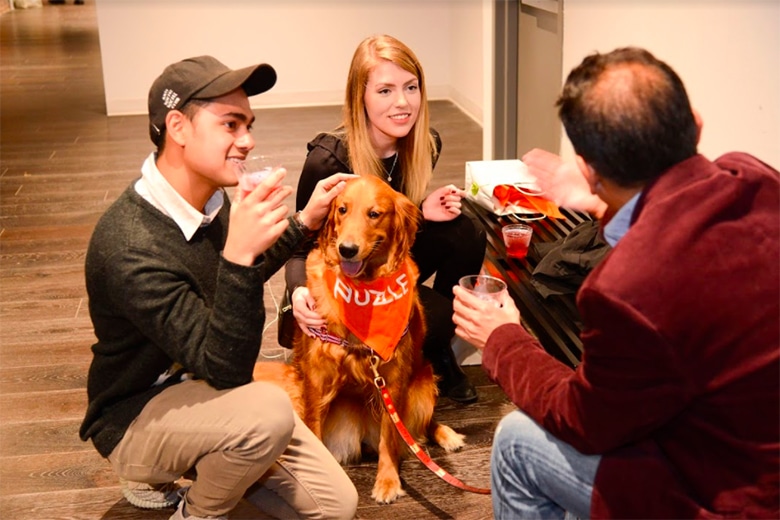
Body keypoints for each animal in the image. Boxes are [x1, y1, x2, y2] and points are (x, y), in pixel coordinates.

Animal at [292, 176, 464, 504]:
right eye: (342, 209)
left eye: (374, 214)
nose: (347, 249)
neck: (363, 291)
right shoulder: (316, 377)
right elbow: (314, 427)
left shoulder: (392, 380)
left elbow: (390, 436)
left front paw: (387, 481)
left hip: (423, 385)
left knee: (420, 426)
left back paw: (446, 435)